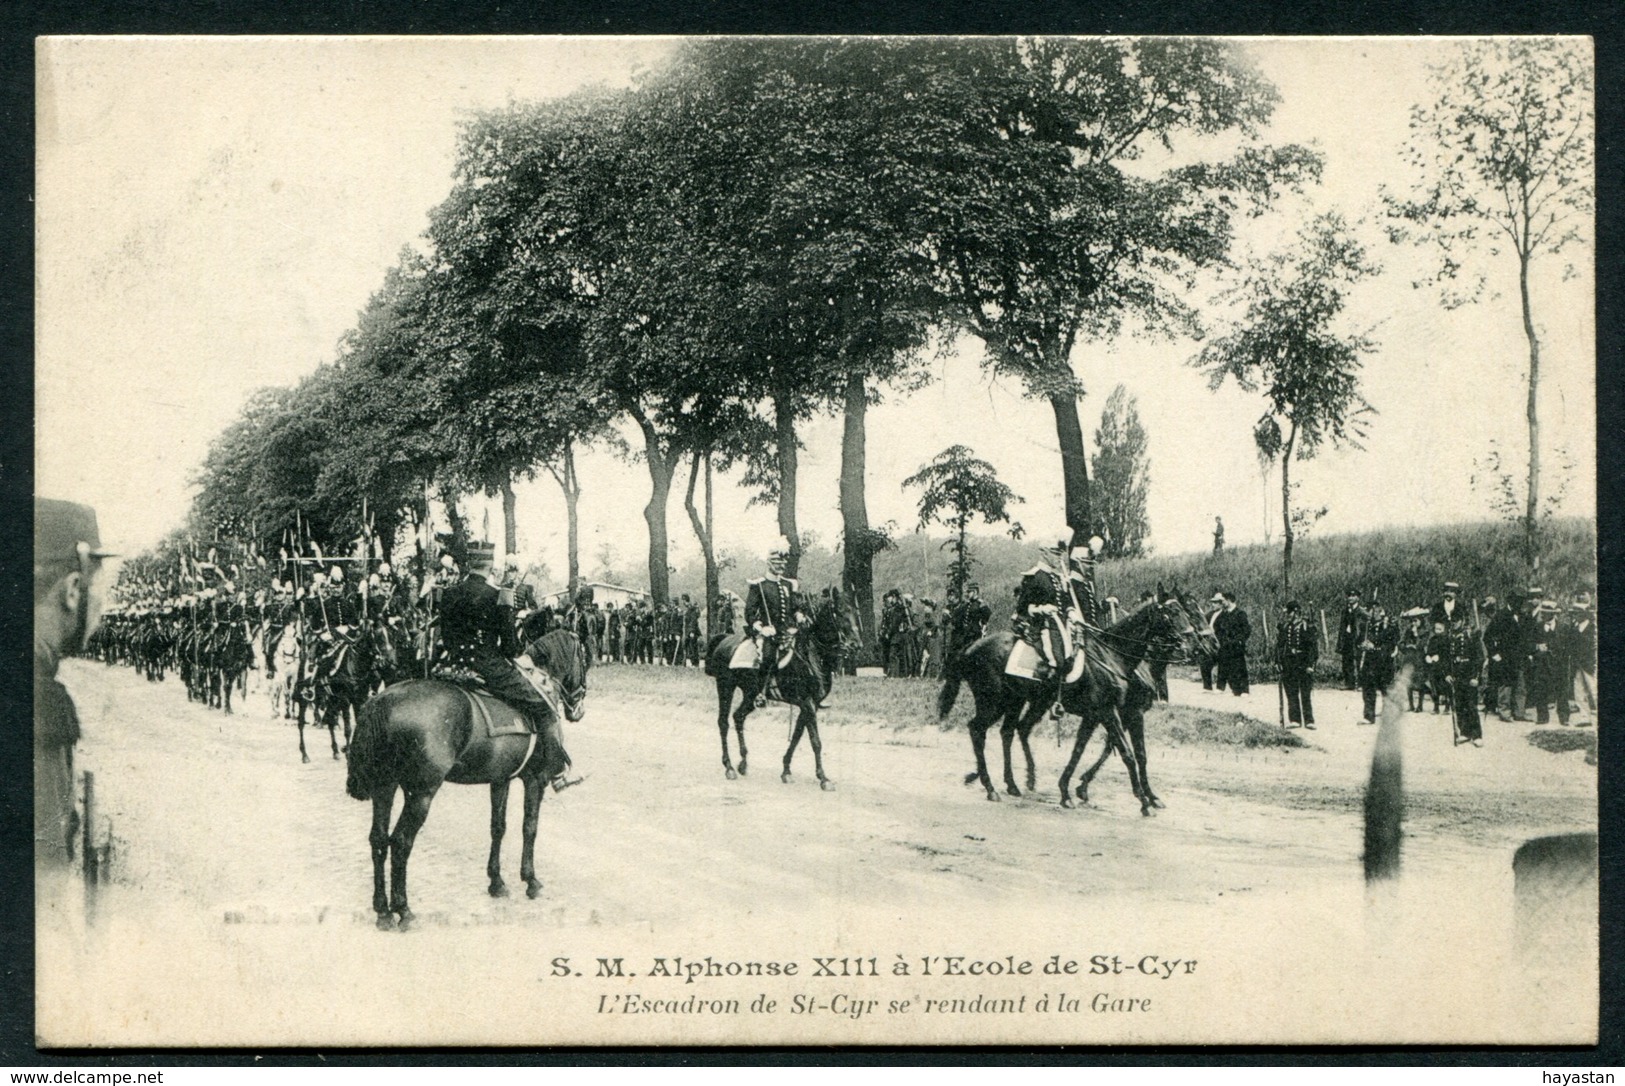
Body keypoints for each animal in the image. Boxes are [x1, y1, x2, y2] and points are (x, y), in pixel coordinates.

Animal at [342, 630, 591, 929]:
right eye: (584, 658)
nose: (578, 709)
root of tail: (380, 702)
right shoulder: (535, 779)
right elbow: (529, 827)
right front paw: (531, 880)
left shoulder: (500, 779)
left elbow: (498, 827)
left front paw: (496, 882)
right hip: (421, 793)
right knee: (400, 842)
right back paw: (404, 910)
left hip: (385, 786)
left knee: (378, 840)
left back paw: (383, 911)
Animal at [705, 617, 838, 790]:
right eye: (841, 615)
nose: (854, 645)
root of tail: (726, 638)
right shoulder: (807, 702)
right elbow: (815, 741)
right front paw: (823, 778)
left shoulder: (810, 705)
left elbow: (797, 735)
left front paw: (786, 770)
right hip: (725, 686)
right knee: (723, 722)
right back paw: (729, 767)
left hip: (751, 694)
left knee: (738, 716)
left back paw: (743, 763)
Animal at [942, 585, 1209, 812]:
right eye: (1173, 612)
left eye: (1188, 610)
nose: (1196, 646)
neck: (1112, 655)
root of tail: (970, 648)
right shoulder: (1112, 712)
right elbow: (1127, 753)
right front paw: (1143, 801)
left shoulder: (1099, 714)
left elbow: (1084, 750)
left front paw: (1068, 791)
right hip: (993, 702)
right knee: (978, 730)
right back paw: (990, 786)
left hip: (1016, 701)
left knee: (1009, 731)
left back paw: (1013, 783)